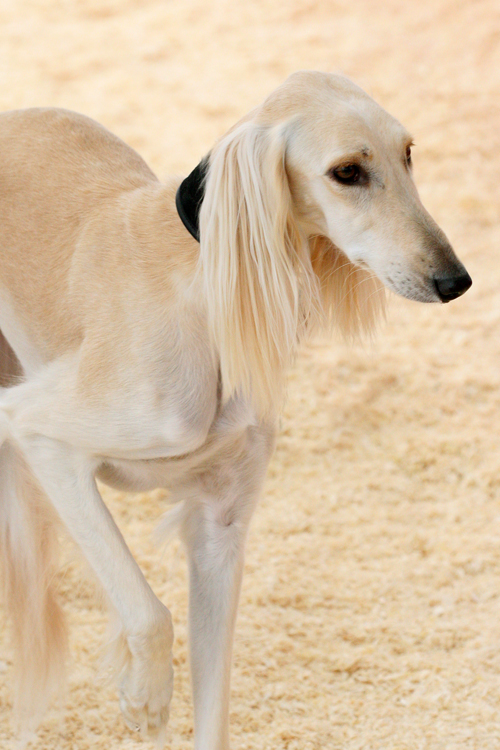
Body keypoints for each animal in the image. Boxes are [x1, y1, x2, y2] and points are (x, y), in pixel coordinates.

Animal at [0, 72, 470, 748]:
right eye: (347, 172)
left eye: (408, 154)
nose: (456, 281)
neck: (204, 292)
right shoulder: (37, 432)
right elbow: (148, 611)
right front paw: (146, 696)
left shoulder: (220, 528)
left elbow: (213, 708)